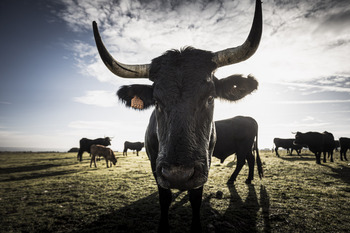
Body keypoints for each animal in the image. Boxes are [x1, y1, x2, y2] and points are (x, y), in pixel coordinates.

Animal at [93, 0, 262, 231]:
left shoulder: (204, 162)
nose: (178, 175)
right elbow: (164, 198)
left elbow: (196, 198)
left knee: (245, 160)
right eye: (156, 101)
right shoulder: (155, 164)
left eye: (210, 97)